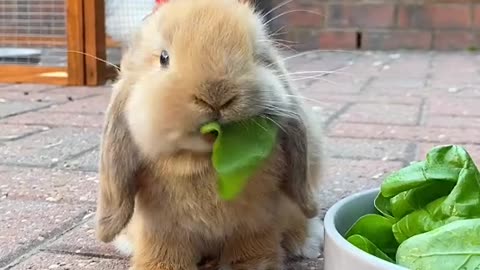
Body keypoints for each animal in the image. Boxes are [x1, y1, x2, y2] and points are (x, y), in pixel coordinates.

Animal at [95, 0, 324, 268]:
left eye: (257, 55)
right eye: (163, 58)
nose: (217, 95)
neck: (206, 160)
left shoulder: (256, 220)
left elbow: (252, 249)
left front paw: (254, 265)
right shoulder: (162, 228)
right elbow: (163, 253)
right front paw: (156, 265)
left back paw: (306, 242)